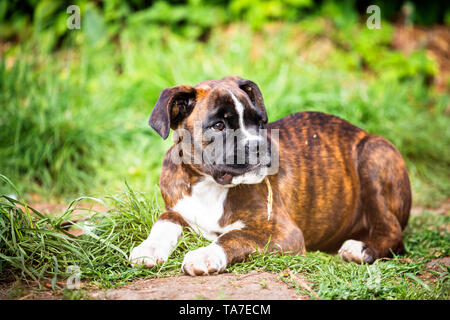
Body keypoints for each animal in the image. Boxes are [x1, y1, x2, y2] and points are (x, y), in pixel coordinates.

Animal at [129, 75, 412, 276]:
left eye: (259, 123)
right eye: (218, 125)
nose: (259, 145)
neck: (208, 185)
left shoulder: (285, 233)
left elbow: (234, 236)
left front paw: (205, 255)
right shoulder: (178, 210)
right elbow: (164, 222)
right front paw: (148, 249)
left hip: (374, 155)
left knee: (391, 230)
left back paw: (360, 248)